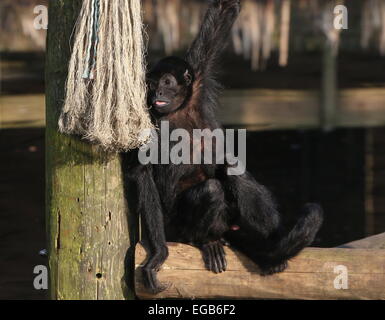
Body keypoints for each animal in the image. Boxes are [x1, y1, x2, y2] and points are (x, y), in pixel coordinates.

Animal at [130, 0, 322, 294]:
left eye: (167, 82)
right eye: (151, 84)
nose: (157, 93)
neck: (177, 110)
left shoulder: (199, 77)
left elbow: (222, 12)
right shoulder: (146, 115)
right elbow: (141, 172)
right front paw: (158, 256)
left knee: (230, 169)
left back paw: (270, 247)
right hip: (177, 224)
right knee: (211, 188)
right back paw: (206, 241)